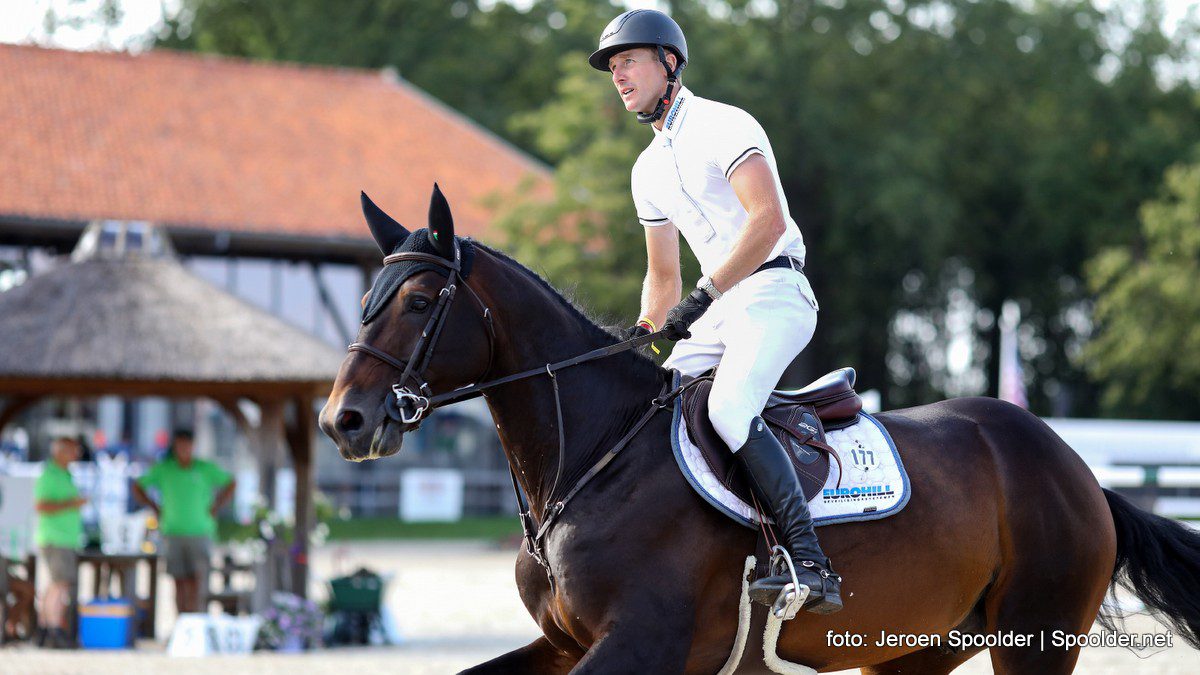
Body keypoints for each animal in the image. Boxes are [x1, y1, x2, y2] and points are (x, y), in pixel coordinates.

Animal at [321, 184, 1200, 672]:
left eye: (421, 301)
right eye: (365, 298)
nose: (343, 420)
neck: (594, 460)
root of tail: (1075, 467)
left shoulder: (640, 644)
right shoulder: (565, 643)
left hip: (1035, 638)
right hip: (917, 648)